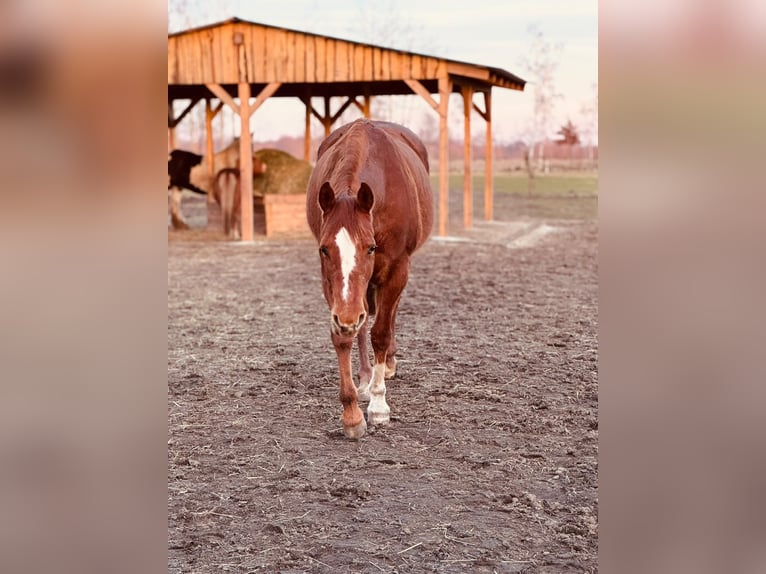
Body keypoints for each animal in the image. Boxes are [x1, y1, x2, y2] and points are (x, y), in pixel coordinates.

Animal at [306, 119, 434, 439]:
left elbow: (381, 333)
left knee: (387, 317)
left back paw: (386, 365)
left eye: (370, 247)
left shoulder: (397, 269)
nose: (347, 315)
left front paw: (378, 405)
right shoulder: (331, 284)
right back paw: (364, 377)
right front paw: (352, 414)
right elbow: (344, 336)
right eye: (324, 249)